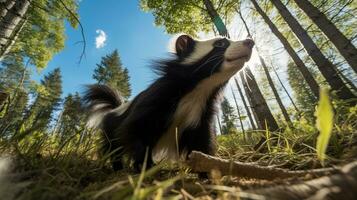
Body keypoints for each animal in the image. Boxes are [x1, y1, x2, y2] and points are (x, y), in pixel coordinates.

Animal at [82, 34, 253, 170]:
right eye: (220, 44)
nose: (250, 41)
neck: (196, 92)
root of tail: (117, 107)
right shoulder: (156, 102)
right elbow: (138, 130)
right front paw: (144, 165)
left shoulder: (200, 114)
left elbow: (200, 142)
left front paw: (206, 169)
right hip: (110, 128)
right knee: (113, 147)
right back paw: (117, 166)